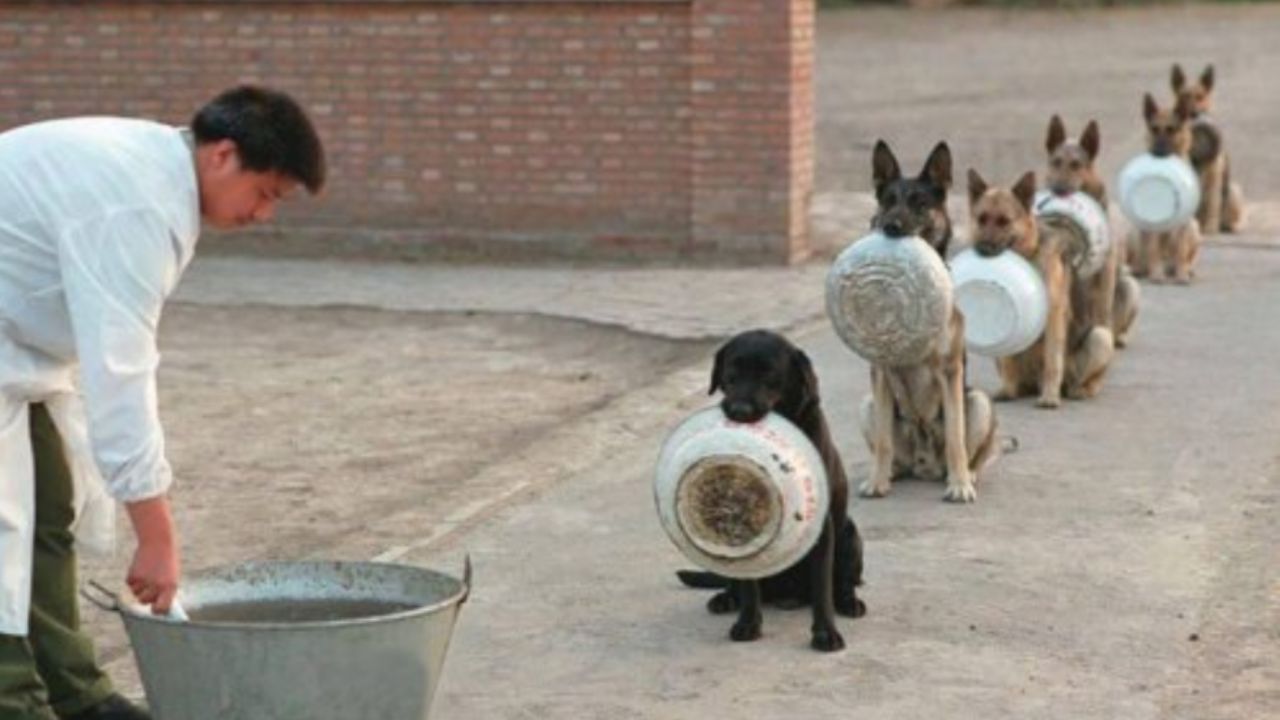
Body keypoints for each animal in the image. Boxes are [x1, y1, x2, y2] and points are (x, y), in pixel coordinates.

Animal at [675, 330, 865, 650]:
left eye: (771, 377)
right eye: (731, 374)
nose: (739, 411)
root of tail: (787, 595)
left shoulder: (821, 527)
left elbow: (822, 589)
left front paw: (825, 633)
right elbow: (750, 589)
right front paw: (748, 623)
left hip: (850, 535)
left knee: (842, 583)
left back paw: (849, 602)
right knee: (736, 585)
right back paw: (725, 599)